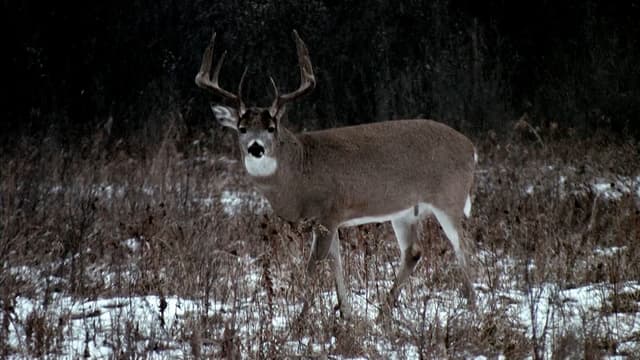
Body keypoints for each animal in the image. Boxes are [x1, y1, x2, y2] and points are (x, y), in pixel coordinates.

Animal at [198, 30, 478, 318]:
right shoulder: (325, 221)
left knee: (464, 246)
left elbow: (314, 264)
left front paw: (302, 317)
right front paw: (346, 313)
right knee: (413, 252)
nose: (256, 147)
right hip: (404, 212)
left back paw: (473, 307)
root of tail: (471, 148)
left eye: (271, 127)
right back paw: (383, 312)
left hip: (449, 198)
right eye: (242, 128)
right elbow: (335, 262)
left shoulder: (329, 211)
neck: (299, 172)